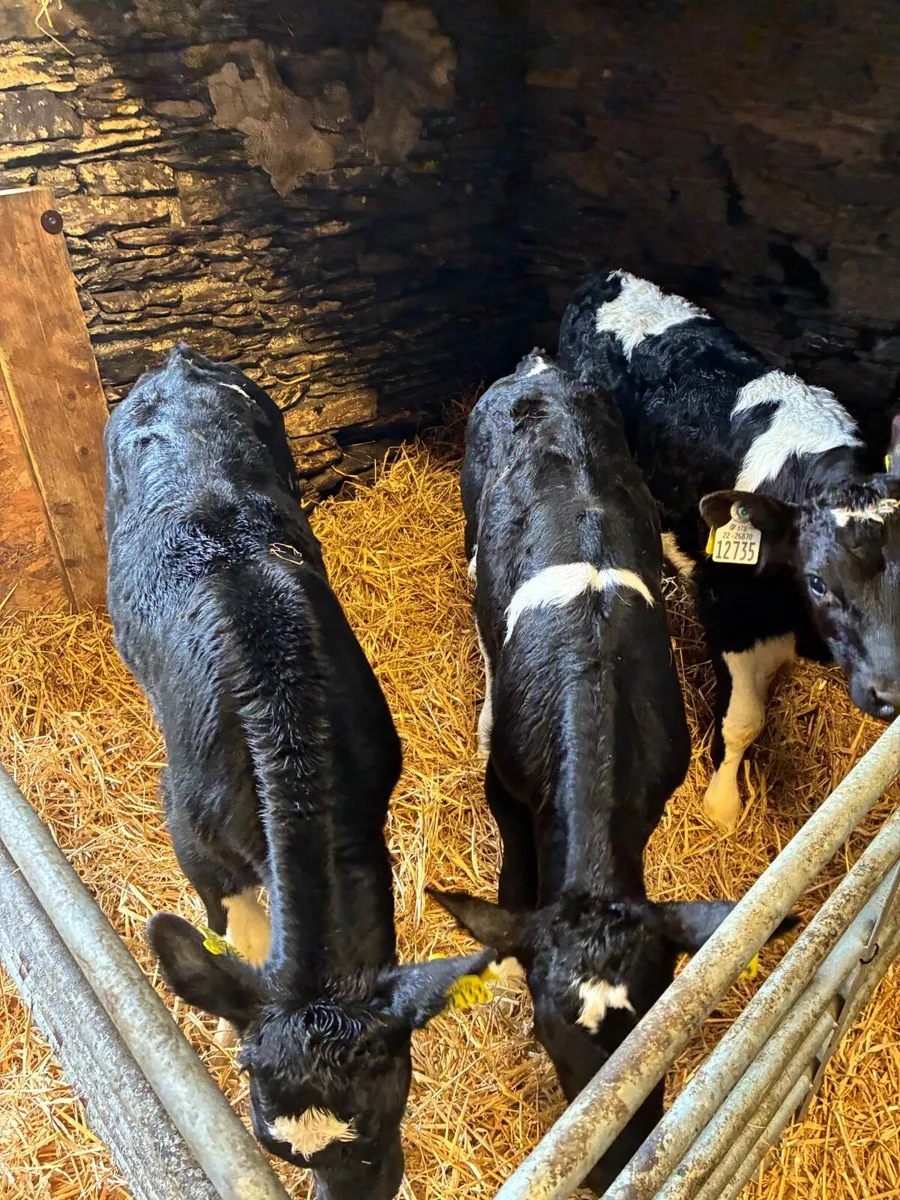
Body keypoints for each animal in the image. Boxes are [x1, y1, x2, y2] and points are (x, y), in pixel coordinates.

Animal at [429, 351, 790, 1193]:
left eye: (655, 1027)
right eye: (544, 1030)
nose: (609, 1167)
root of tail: (537, 370)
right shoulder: (506, 792)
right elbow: (511, 889)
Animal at [558, 269, 900, 830]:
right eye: (818, 580)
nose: (889, 692)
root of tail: (608, 277)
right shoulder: (729, 617)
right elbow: (742, 720)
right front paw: (722, 803)